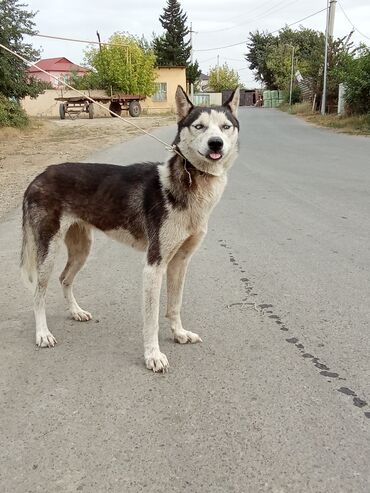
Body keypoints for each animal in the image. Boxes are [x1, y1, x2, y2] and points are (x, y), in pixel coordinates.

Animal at [21, 85, 240, 368]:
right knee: (38, 293)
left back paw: (76, 312)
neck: (191, 182)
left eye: (225, 127)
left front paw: (179, 334)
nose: (216, 143)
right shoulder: (154, 265)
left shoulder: (180, 262)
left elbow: (175, 305)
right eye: (199, 126)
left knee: (65, 278)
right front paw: (153, 356)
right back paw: (42, 333)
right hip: (47, 252)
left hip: (82, 249)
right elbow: (152, 319)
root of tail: (38, 176)